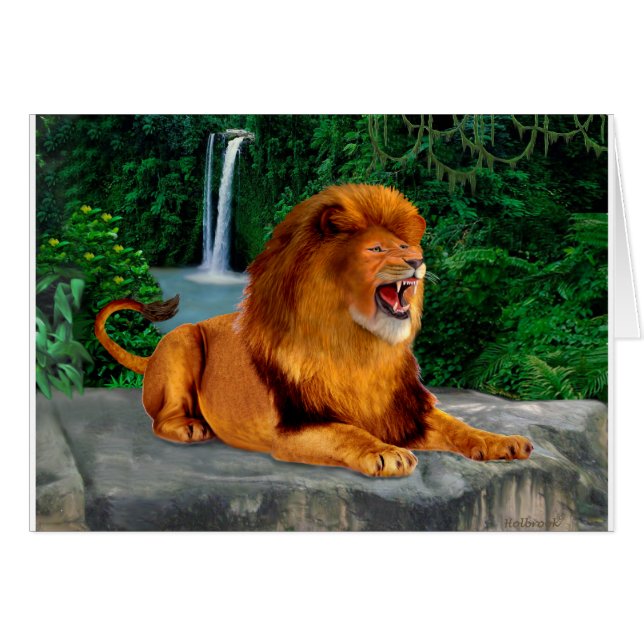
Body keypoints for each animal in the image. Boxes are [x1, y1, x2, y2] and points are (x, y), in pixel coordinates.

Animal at [95, 184, 533, 477]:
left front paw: (502, 441)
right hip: (183, 339)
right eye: (377, 249)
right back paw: (189, 426)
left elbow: (458, 425)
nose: (418, 261)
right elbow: (346, 432)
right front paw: (387, 453)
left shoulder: (404, 410)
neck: (360, 342)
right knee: (161, 418)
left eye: (407, 246)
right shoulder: (293, 426)